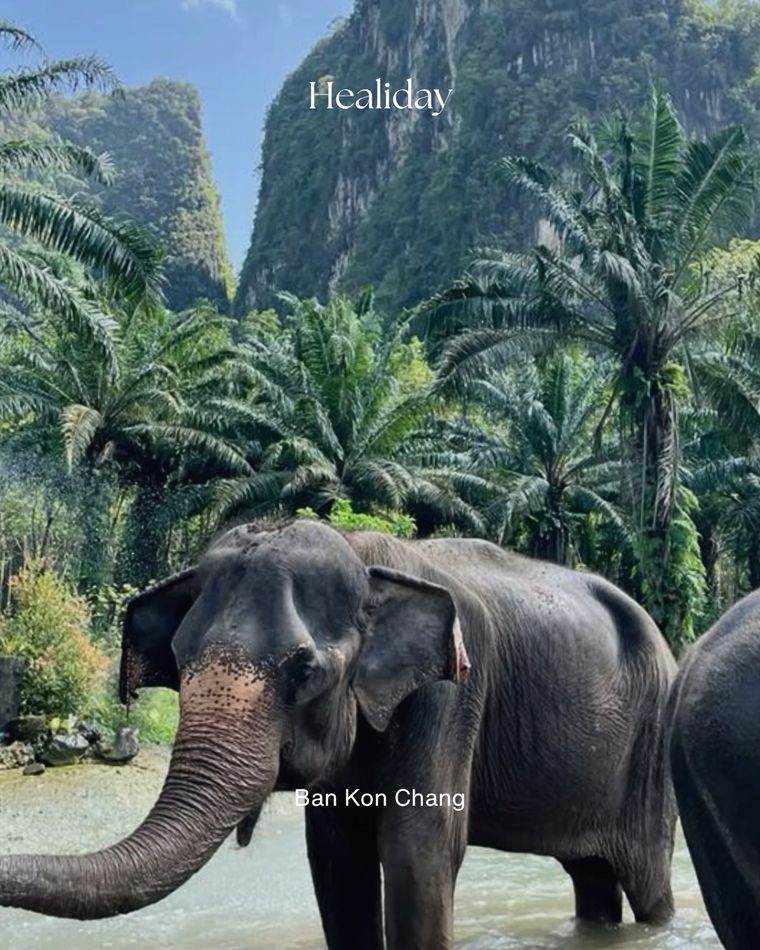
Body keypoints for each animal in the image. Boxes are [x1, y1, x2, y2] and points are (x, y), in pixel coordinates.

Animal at [0, 520, 677, 948]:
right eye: (179, 657)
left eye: (303, 670)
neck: (362, 556)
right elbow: (335, 855)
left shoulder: (453, 694)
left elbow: (417, 850)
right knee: (591, 875)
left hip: (652, 752)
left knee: (648, 882)